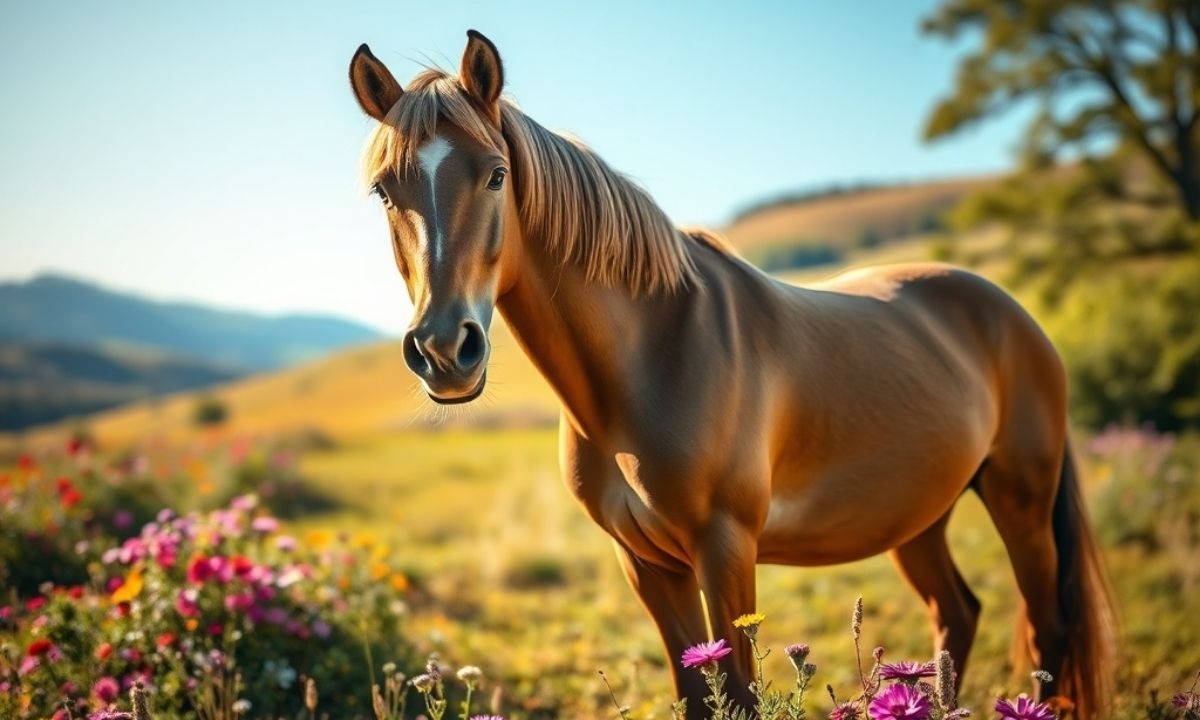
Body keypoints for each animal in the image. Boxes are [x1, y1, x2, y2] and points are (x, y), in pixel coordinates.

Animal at [346, 30, 1115, 718]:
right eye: (384, 191)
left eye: (496, 172)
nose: (445, 350)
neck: (653, 357)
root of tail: (1010, 313)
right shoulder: (646, 564)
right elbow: (697, 695)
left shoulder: (725, 551)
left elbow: (739, 696)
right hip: (921, 516)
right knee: (957, 616)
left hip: (1020, 500)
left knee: (1048, 630)